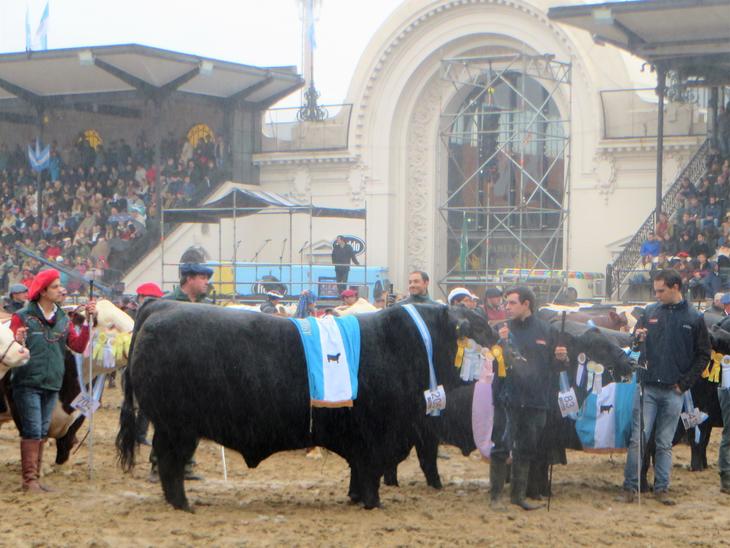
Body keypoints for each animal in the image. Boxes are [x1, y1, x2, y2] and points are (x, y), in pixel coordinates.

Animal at [117, 300, 484, 511]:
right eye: (478, 325)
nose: (496, 340)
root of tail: (161, 307)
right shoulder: (376, 438)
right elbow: (371, 473)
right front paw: (373, 503)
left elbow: (359, 473)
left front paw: (354, 497)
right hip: (177, 427)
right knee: (170, 463)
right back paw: (183, 504)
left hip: (174, 427)